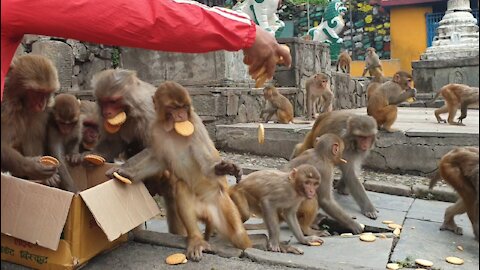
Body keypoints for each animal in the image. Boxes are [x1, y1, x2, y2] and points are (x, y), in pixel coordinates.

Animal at [0, 53, 60, 187]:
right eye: (37, 93)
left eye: (46, 93)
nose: (42, 104)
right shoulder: (7, 108)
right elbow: (3, 142)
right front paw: (32, 166)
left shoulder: (41, 113)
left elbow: (33, 137)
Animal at [107, 80, 249, 262]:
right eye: (174, 108)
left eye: (184, 108)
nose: (181, 116)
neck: (173, 131)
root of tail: (208, 213)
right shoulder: (154, 129)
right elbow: (157, 159)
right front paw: (125, 171)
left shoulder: (196, 125)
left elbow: (206, 165)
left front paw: (225, 168)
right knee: (181, 188)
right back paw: (196, 240)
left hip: (223, 205)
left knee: (239, 237)